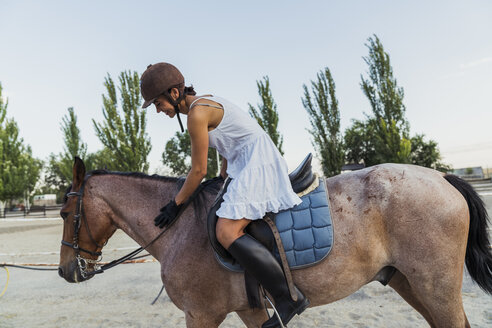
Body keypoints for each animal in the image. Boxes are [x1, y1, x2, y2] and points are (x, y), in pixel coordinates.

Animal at [58, 158, 492, 326]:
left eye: (64, 213)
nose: (65, 271)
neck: (180, 229)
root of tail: (440, 176)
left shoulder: (201, 315)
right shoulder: (249, 309)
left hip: (435, 288)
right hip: (409, 282)